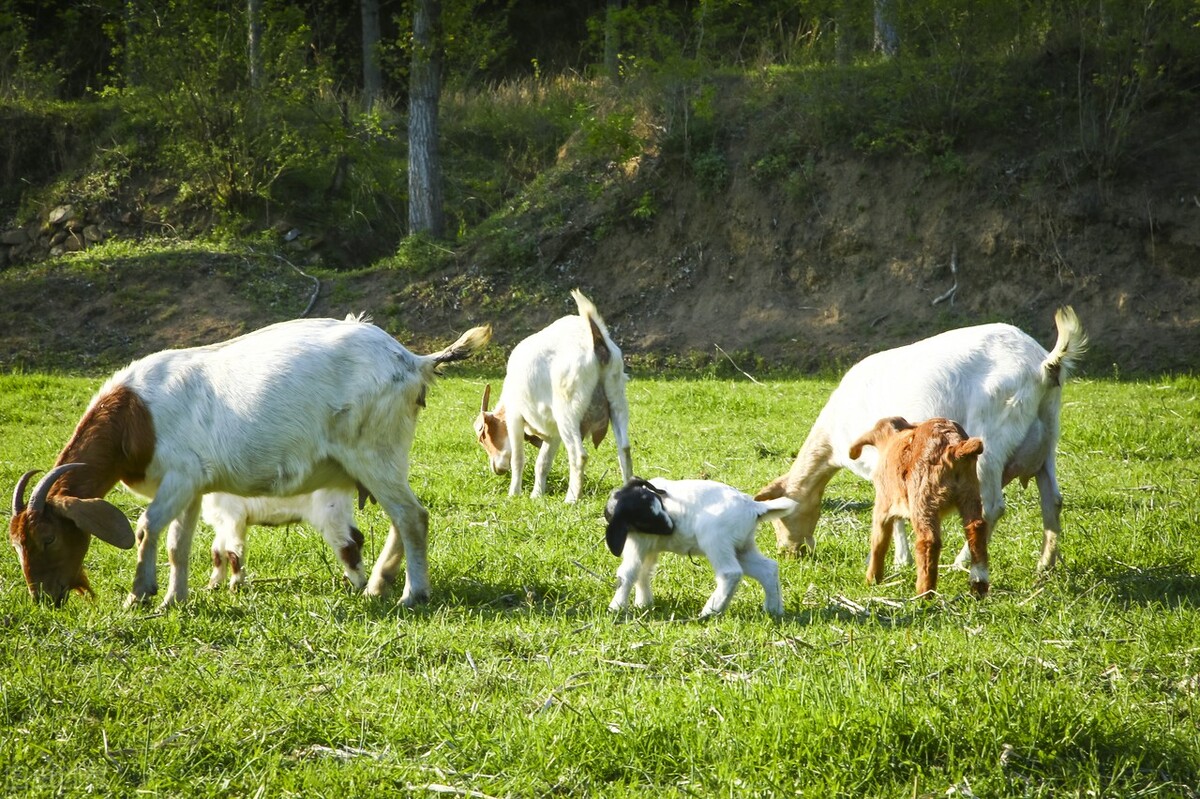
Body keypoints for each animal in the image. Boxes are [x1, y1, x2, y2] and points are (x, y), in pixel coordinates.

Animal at [201, 484, 362, 590]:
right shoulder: (220, 520)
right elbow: (217, 551)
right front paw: (213, 585)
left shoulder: (234, 516)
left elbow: (233, 551)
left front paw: (236, 587)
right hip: (341, 510)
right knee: (357, 537)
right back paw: (349, 580)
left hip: (329, 512)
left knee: (347, 546)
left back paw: (357, 585)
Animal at [472, 289, 633, 501]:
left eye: (482, 436)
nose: (496, 469)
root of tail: (596, 341)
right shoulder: (553, 433)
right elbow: (543, 463)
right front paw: (536, 495)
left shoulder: (515, 416)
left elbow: (518, 459)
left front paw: (514, 494)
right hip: (617, 401)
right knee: (624, 449)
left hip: (568, 411)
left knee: (579, 455)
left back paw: (571, 499)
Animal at [600, 472, 796, 614]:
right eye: (645, 519)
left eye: (659, 507)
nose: (672, 528)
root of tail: (754, 508)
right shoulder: (649, 548)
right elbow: (643, 572)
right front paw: (644, 604)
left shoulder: (638, 543)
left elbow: (628, 573)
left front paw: (616, 608)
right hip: (742, 546)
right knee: (768, 569)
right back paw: (773, 610)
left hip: (716, 540)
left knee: (731, 573)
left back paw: (710, 611)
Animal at [758, 305, 1089, 573]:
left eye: (779, 517)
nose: (789, 553)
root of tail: (1044, 365)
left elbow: (893, 512)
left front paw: (898, 560)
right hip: (1047, 437)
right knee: (1052, 500)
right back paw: (1045, 565)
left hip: (992, 441)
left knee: (993, 507)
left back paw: (962, 563)